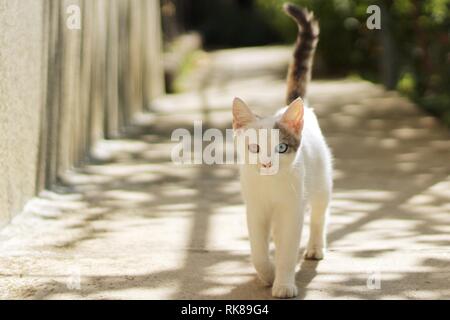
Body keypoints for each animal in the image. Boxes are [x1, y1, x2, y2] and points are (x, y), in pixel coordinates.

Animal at [232, 2, 330, 298]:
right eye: (254, 148)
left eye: (282, 147)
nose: (266, 164)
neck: (271, 186)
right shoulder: (254, 209)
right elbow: (257, 250)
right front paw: (267, 274)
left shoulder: (291, 210)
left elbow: (287, 250)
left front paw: (284, 283)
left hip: (321, 182)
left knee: (319, 215)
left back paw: (315, 246)